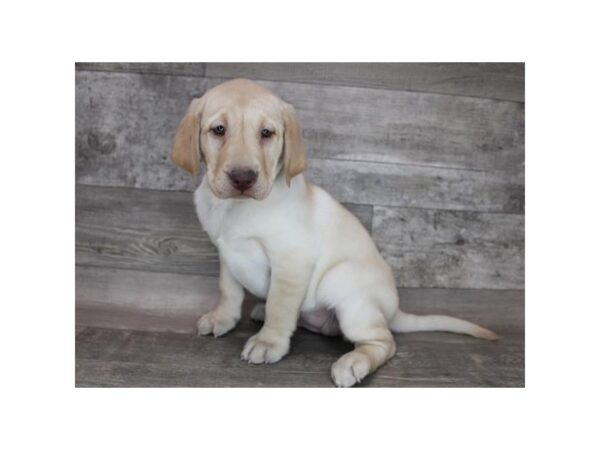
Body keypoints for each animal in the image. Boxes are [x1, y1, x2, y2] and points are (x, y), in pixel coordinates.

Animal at [170, 77, 496, 386]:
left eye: (266, 134)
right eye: (219, 130)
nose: (242, 178)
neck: (234, 208)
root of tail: (393, 312)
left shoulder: (291, 263)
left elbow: (280, 306)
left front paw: (268, 342)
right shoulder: (227, 254)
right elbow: (229, 291)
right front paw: (222, 318)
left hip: (345, 288)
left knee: (384, 342)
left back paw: (353, 363)